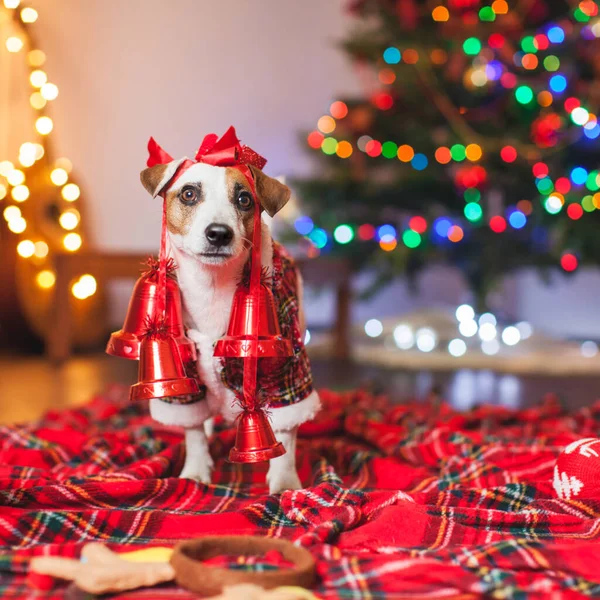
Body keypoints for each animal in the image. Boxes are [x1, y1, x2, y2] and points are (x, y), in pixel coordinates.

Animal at [141, 144, 322, 492]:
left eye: (244, 199)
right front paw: (195, 471)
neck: (213, 287)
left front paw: (285, 483)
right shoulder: (180, 370)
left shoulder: (288, 370)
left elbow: (287, 431)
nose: (218, 233)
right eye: (188, 193)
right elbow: (193, 429)